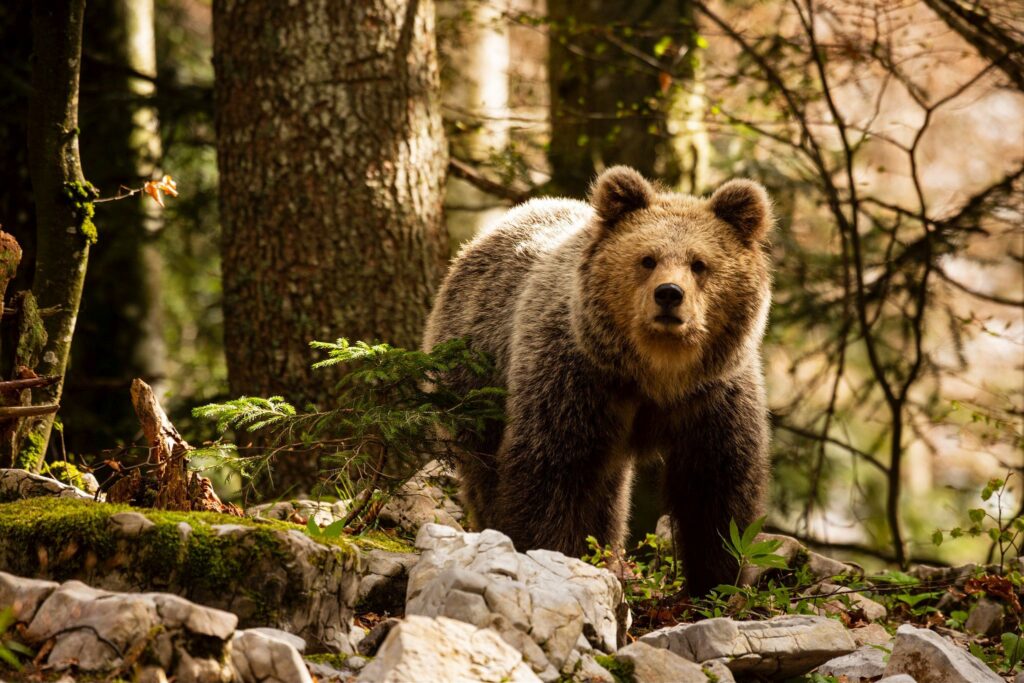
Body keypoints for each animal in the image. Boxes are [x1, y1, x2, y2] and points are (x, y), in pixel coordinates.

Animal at [421, 163, 770, 593]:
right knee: (485, 467)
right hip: (476, 372)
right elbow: (552, 468)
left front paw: (718, 579)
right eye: (647, 259)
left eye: (699, 263)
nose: (669, 294)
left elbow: (717, 486)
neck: (656, 372)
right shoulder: (577, 377)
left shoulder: (714, 393)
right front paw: (550, 552)